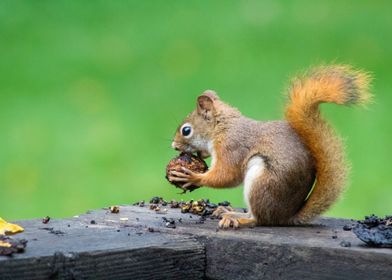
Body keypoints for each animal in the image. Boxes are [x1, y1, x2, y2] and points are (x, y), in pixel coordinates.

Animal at [168, 65, 370, 228]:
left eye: (186, 130)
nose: (174, 145)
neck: (222, 127)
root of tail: (286, 217)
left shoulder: (231, 147)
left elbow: (227, 175)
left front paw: (193, 176)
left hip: (262, 182)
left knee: (259, 219)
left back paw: (238, 218)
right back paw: (227, 211)